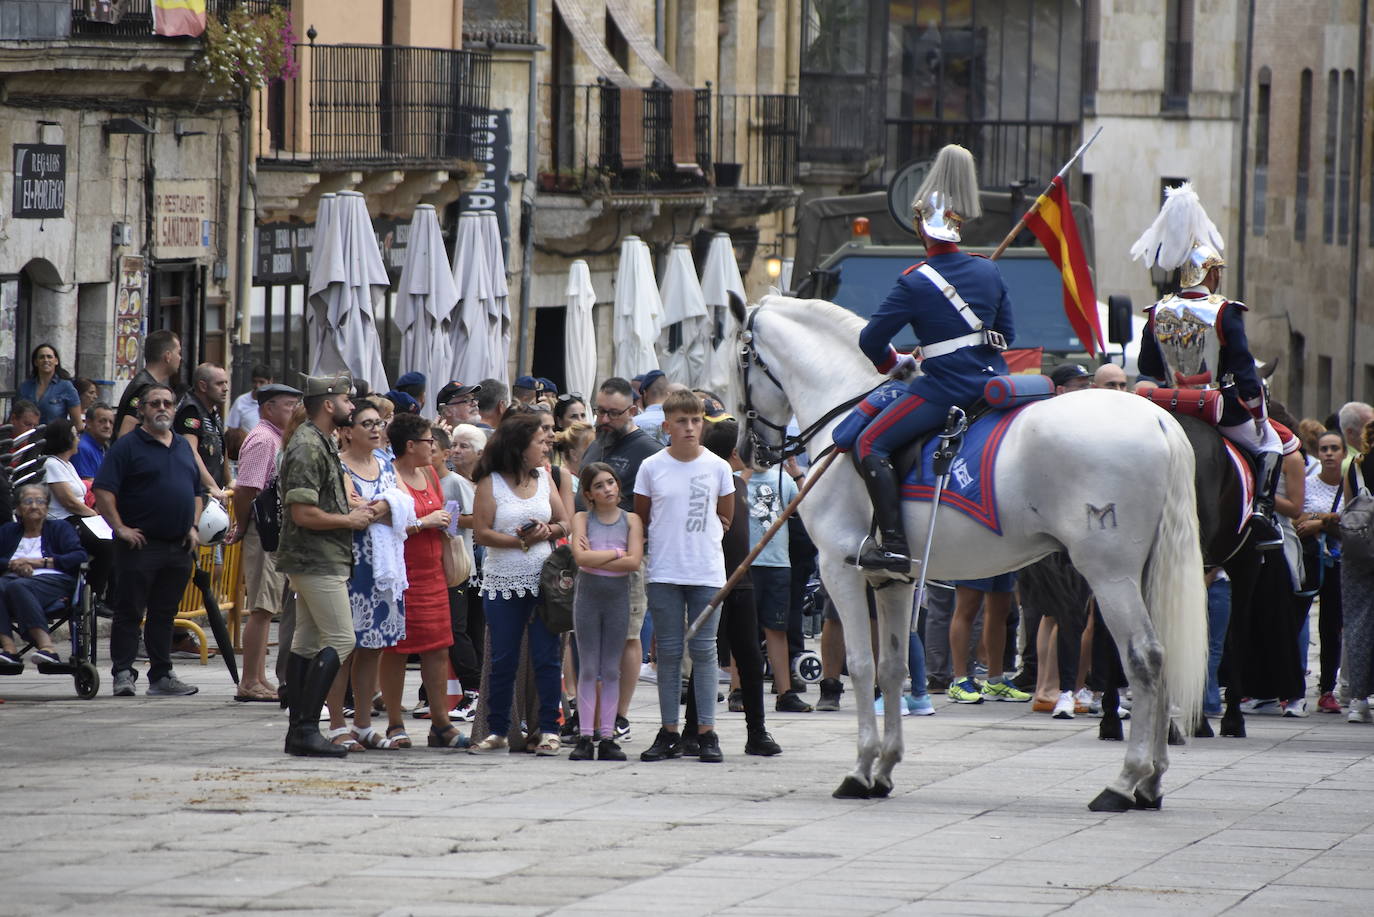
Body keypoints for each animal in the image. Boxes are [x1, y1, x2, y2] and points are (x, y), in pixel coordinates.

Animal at [730, 292, 1203, 808]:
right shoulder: (893, 578)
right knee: (1162, 655)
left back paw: (1125, 781)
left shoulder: (841, 568)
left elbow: (861, 665)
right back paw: (1151, 782)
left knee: (1144, 656)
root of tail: (1157, 418)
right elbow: (892, 666)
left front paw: (859, 771)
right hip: (1143, 573)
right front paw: (884, 770)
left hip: (1110, 573)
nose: (748, 450)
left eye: (739, 358)